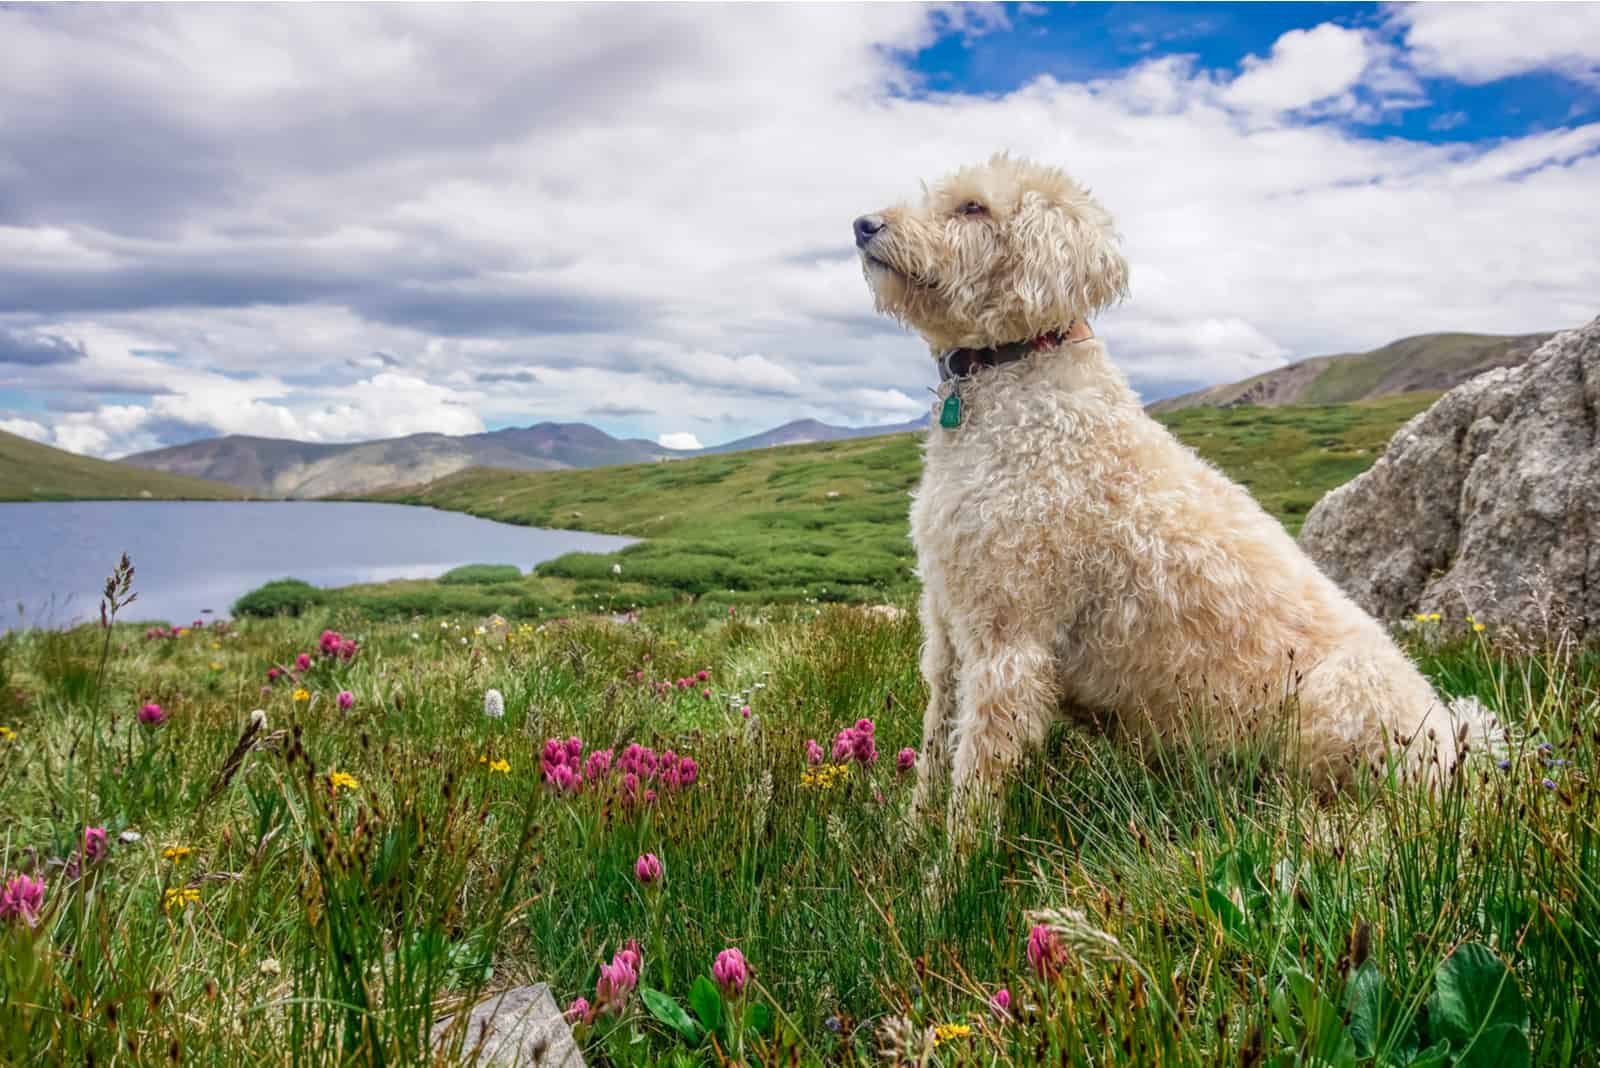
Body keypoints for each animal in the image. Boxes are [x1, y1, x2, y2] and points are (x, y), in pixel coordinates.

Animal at [851, 151, 1484, 831]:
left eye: (973, 207)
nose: (863, 224)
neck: (1014, 377)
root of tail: (1459, 754)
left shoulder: (1008, 639)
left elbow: (976, 773)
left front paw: (955, 859)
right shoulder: (947, 627)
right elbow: (936, 744)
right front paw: (909, 841)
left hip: (1340, 696)